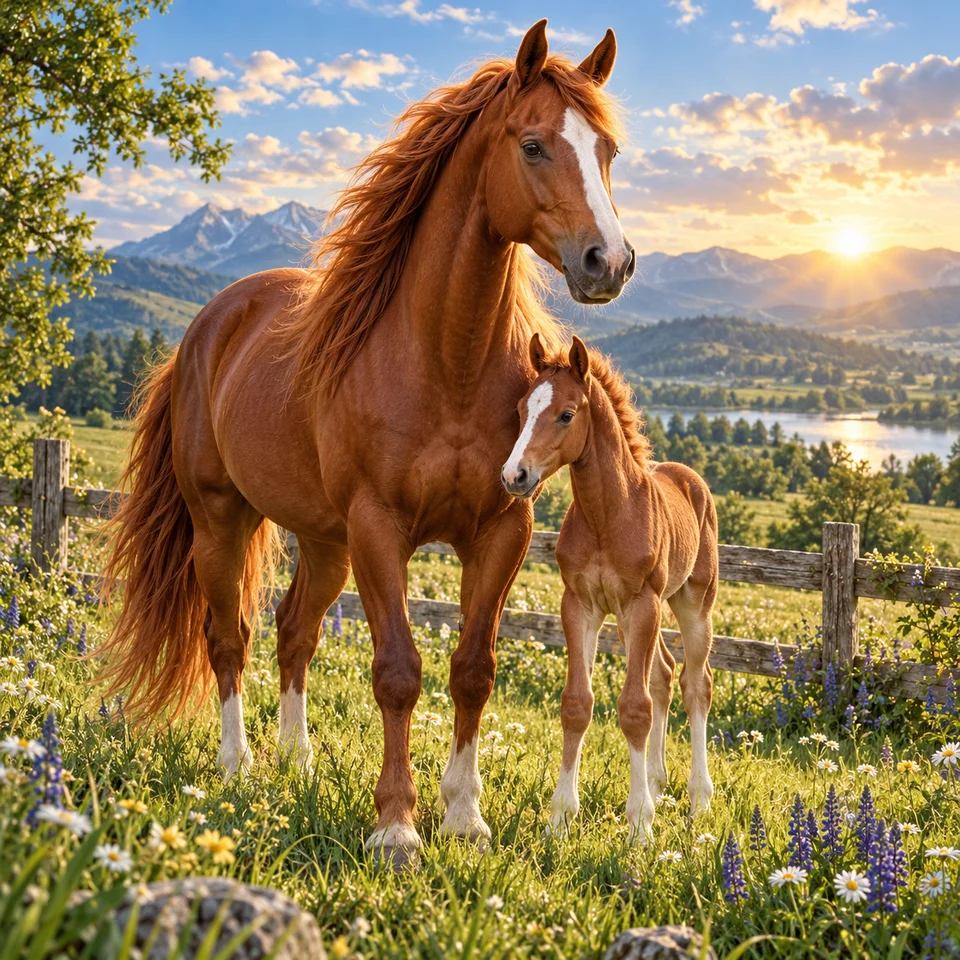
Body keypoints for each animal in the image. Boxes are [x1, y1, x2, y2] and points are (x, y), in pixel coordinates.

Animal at [97, 20, 636, 866]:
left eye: (607, 150)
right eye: (533, 145)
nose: (608, 262)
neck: (445, 363)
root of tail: (210, 324)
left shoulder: (501, 531)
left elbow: (472, 670)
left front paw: (464, 817)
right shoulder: (379, 528)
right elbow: (398, 673)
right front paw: (395, 826)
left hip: (325, 542)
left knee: (295, 633)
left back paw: (297, 759)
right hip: (222, 521)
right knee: (229, 637)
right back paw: (237, 762)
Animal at [501, 334, 718, 842]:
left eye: (566, 414)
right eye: (521, 408)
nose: (514, 476)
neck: (607, 514)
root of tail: (690, 478)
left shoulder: (642, 604)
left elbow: (635, 708)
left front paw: (640, 824)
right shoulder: (580, 604)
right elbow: (577, 704)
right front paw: (560, 817)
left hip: (691, 603)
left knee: (696, 683)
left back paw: (698, 797)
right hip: (630, 617)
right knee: (664, 672)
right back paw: (657, 782)